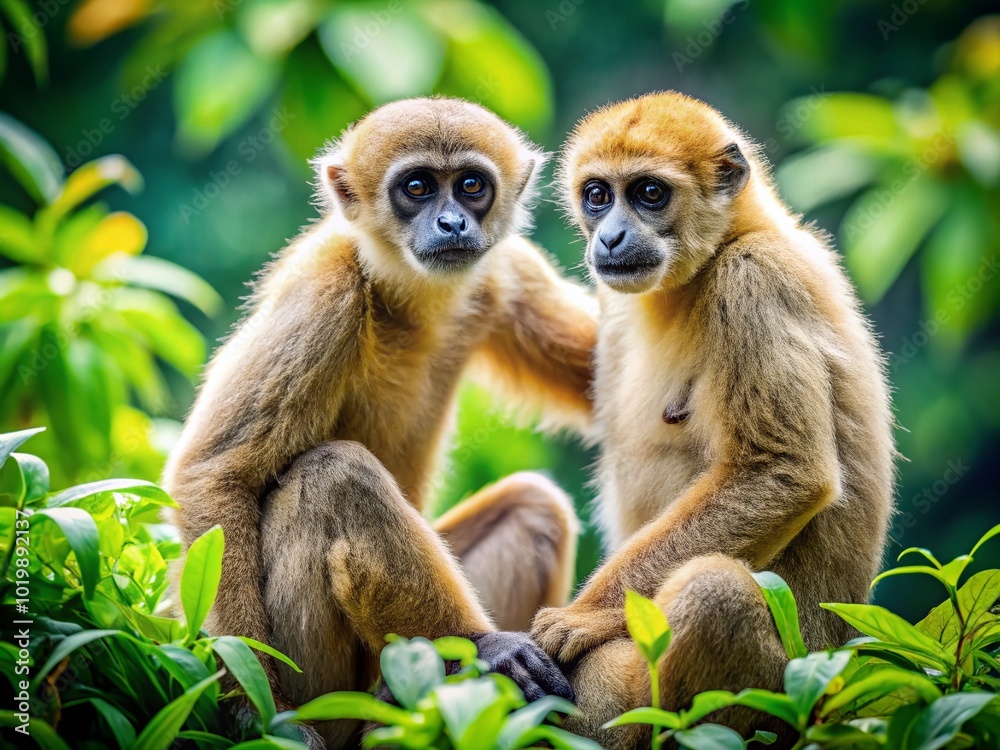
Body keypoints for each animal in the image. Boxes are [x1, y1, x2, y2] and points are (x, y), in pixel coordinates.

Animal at [162, 97, 598, 749]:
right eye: (416, 188)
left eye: (471, 186)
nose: (451, 223)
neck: (402, 298)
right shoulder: (326, 293)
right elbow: (212, 476)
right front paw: (253, 712)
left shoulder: (507, 272)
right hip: (325, 684)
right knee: (332, 474)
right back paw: (481, 647)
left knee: (533, 507)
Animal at [528, 92, 896, 748]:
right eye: (598, 195)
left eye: (649, 193)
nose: (611, 235)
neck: (729, 245)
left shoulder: (752, 280)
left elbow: (783, 474)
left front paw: (582, 618)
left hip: (789, 688)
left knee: (713, 592)